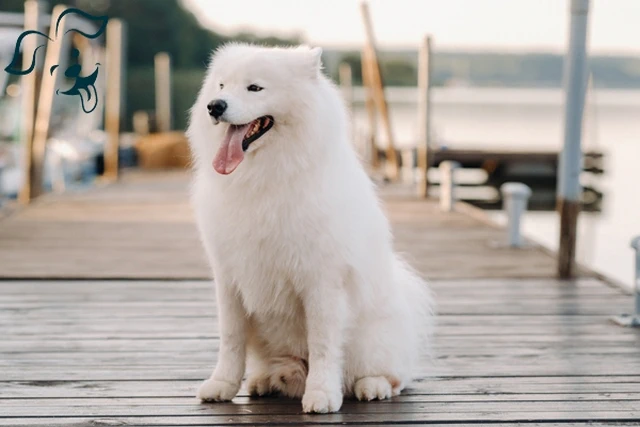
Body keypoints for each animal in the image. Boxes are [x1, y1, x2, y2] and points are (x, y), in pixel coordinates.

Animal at [186, 44, 436, 414]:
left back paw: (371, 386)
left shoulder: (322, 280)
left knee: (394, 377)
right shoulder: (229, 277)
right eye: (220, 86)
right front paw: (221, 385)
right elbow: (230, 339)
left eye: (254, 88)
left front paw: (321, 395)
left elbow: (322, 344)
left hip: (373, 338)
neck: (264, 178)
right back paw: (267, 380)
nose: (215, 106)